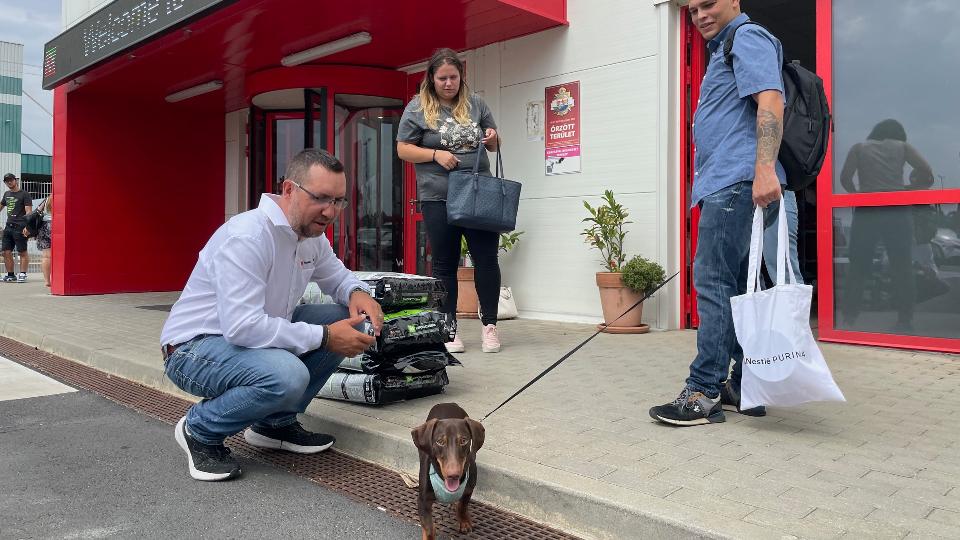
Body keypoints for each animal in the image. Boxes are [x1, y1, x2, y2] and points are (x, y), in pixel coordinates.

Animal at [412, 402, 488, 536]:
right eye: (440, 442)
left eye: (464, 440)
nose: (454, 475)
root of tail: (448, 403)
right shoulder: (423, 502)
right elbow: (429, 529)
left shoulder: (468, 489)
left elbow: (462, 506)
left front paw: (464, 522)